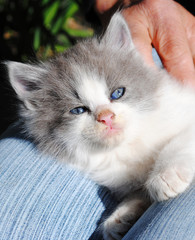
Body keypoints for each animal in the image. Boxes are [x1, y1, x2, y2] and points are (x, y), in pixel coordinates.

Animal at [6, 12, 195, 240]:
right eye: (78, 110)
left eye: (117, 93)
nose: (106, 117)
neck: (130, 146)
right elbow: (137, 193)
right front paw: (120, 217)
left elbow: (178, 142)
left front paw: (166, 177)